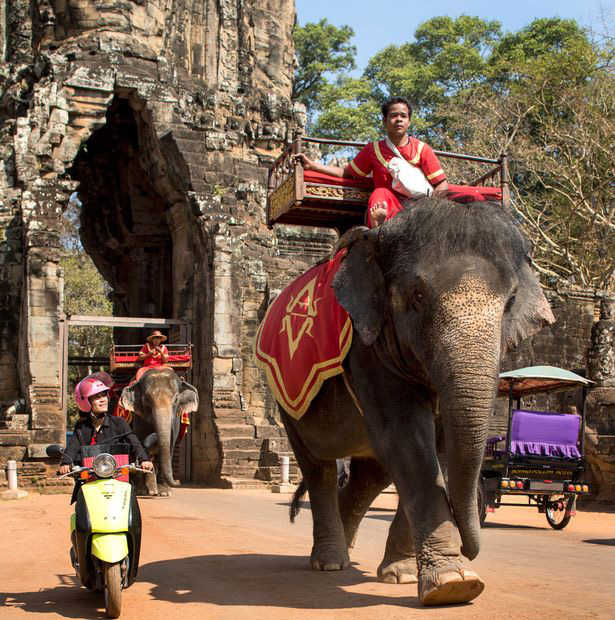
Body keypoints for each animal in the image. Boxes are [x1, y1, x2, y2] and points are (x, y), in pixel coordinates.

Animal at [280, 199, 552, 604]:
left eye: (510, 303)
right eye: (418, 297)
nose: (471, 547)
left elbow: (437, 447)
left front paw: (405, 575)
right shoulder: (367, 350)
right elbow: (407, 440)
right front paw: (455, 583)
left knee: (371, 475)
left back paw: (346, 550)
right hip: (287, 403)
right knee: (319, 468)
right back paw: (329, 561)